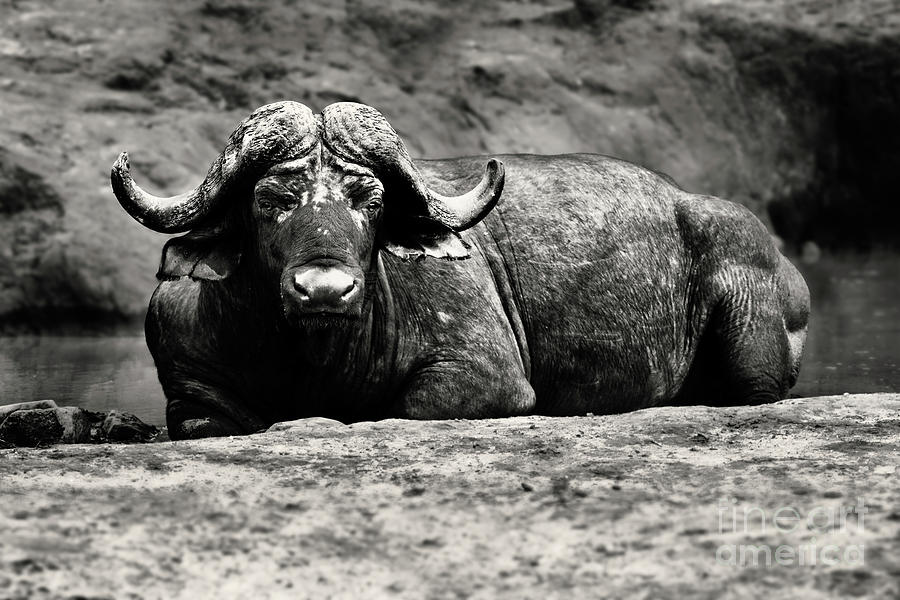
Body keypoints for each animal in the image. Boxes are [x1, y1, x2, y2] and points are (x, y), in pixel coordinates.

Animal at [110, 101, 808, 440]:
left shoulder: (483, 376)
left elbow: (401, 406)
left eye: (370, 199)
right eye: (271, 198)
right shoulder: (190, 391)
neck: (312, 359)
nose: (324, 289)